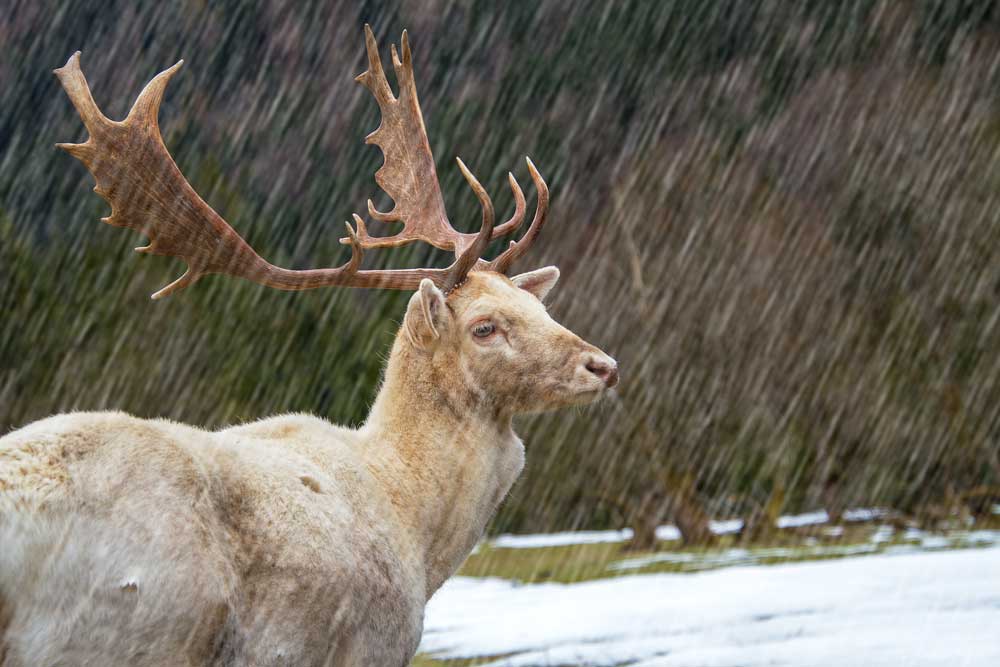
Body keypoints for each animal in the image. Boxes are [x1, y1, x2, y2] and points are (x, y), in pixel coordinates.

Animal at [0, 23, 616, 667]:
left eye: (540, 307)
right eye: (485, 327)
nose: (603, 365)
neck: (418, 536)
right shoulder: (369, 646)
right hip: (124, 627)